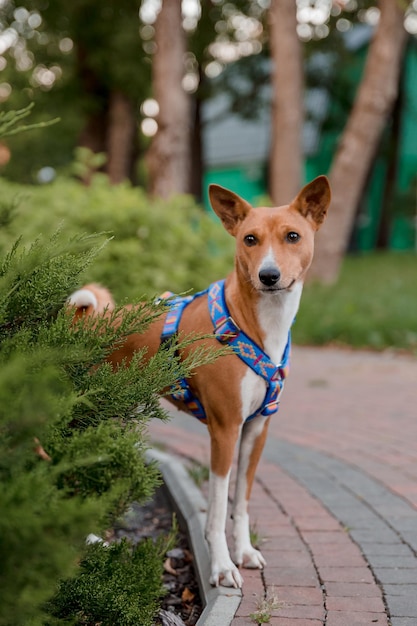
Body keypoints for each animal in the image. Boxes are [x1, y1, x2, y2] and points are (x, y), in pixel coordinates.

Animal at [69, 174, 332, 584]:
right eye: (250, 239)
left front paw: (243, 552)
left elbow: (241, 502)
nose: (268, 275)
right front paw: (222, 566)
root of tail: (81, 324)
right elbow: (218, 508)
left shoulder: (255, 430)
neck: (254, 325)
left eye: (293, 236)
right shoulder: (225, 429)